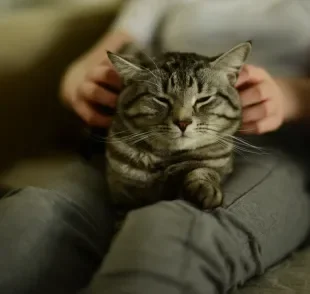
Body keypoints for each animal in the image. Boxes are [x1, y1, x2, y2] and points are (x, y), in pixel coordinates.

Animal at [104, 41, 252, 211]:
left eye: (204, 99)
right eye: (161, 99)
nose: (183, 122)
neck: (169, 161)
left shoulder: (219, 165)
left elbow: (204, 170)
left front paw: (205, 189)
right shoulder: (122, 191)